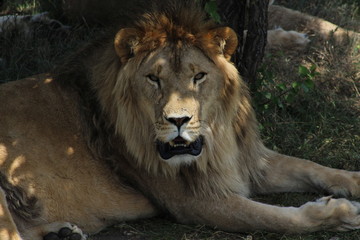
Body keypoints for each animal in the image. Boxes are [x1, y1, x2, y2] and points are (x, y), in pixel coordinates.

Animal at [0, 0, 360, 239]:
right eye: (153, 79)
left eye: (198, 76)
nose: (178, 120)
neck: (216, 141)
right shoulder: (194, 202)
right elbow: (273, 219)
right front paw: (339, 213)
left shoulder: (246, 160)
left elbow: (312, 167)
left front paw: (353, 180)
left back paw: (62, 233)